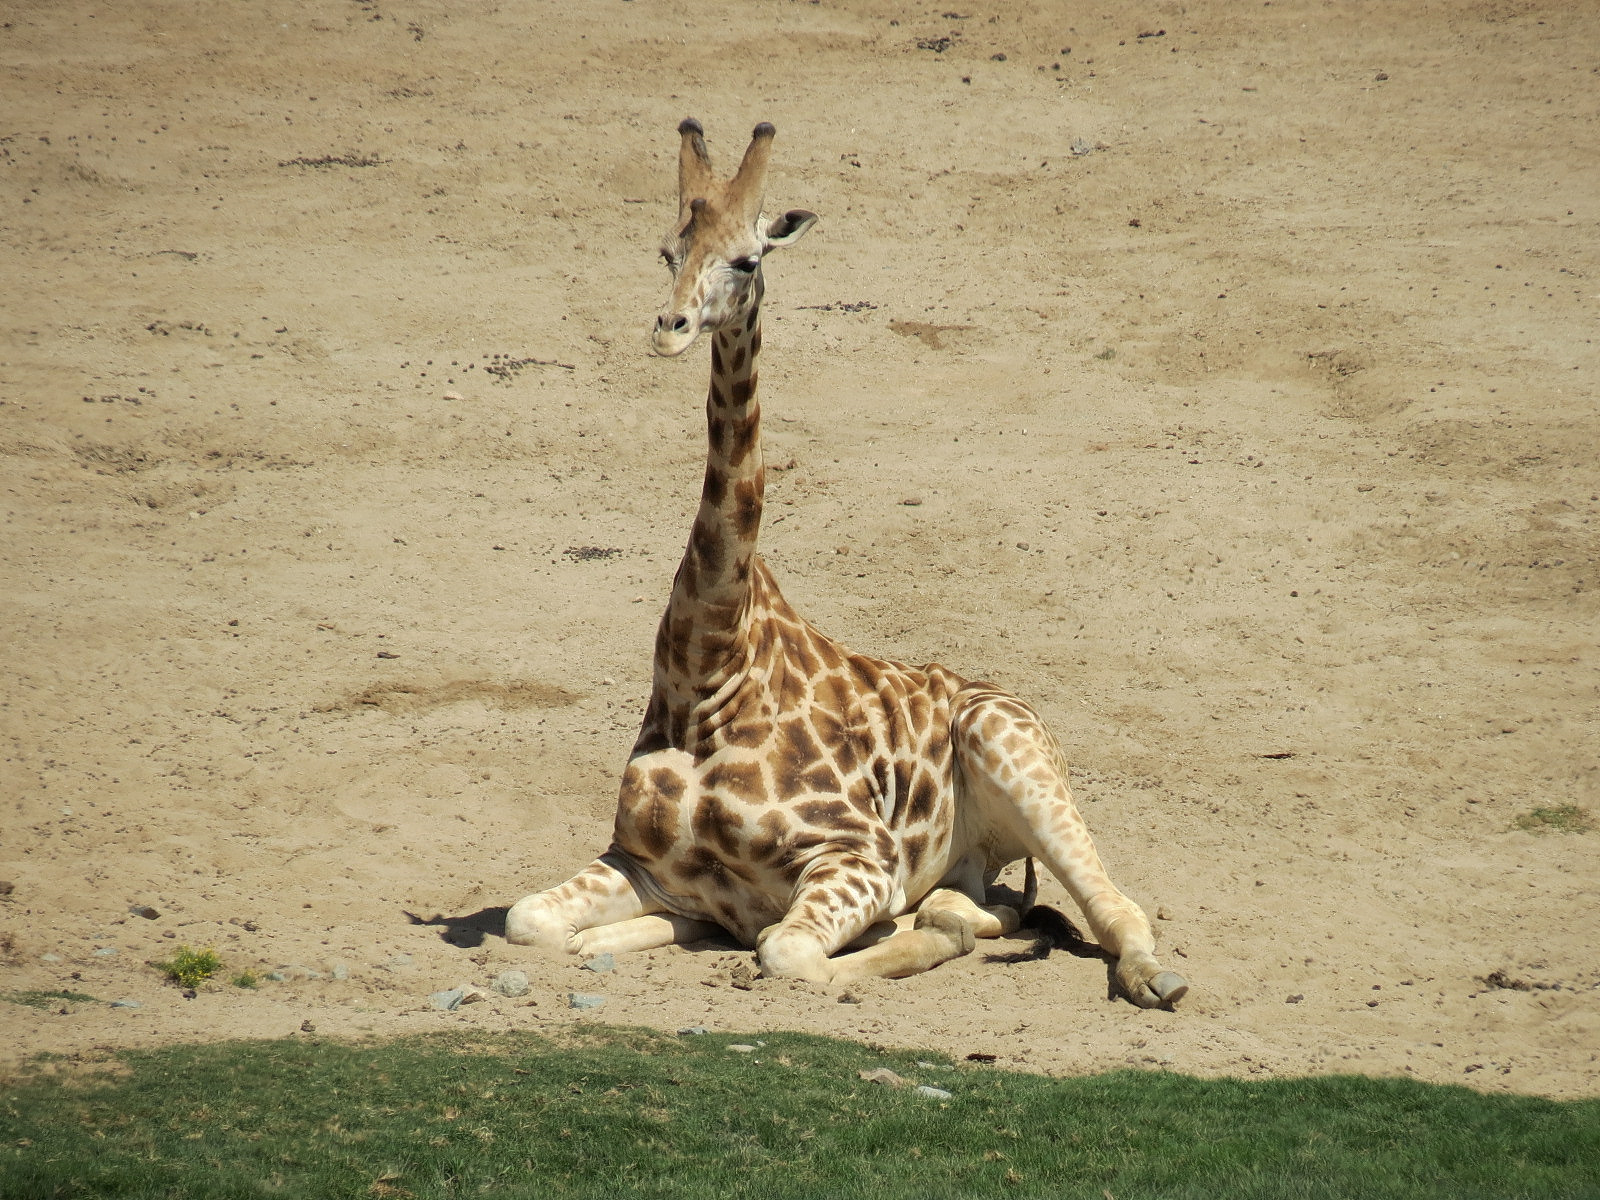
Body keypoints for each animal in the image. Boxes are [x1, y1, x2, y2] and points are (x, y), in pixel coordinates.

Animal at [505, 118, 1188, 1007]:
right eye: (667, 250)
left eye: (746, 259)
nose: (670, 328)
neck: (706, 672)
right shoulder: (642, 863)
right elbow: (526, 918)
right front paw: (605, 938)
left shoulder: (857, 857)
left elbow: (787, 954)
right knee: (986, 901)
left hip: (1015, 755)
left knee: (1107, 903)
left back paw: (1145, 975)